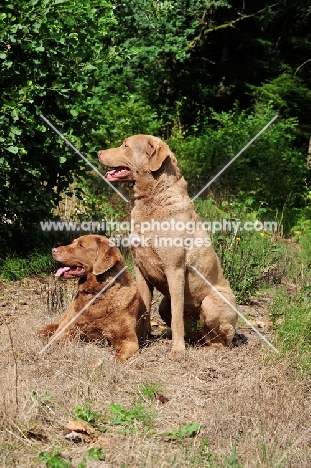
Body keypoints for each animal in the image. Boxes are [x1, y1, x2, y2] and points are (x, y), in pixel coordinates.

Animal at [39, 234, 150, 362]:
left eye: (81, 245)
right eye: (73, 242)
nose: (53, 250)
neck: (96, 294)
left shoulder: (129, 339)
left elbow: (119, 356)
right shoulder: (67, 330)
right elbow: (53, 341)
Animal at [98, 134, 239, 354]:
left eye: (125, 145)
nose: (98, 152)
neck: (154, 196)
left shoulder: (175, 269)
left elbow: (177, 316)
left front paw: (177, 351)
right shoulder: (140, 269)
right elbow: (144, 308)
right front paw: (142, 339)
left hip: (212, 302)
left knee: (222, 339)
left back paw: (208, 347)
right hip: (165, 304)